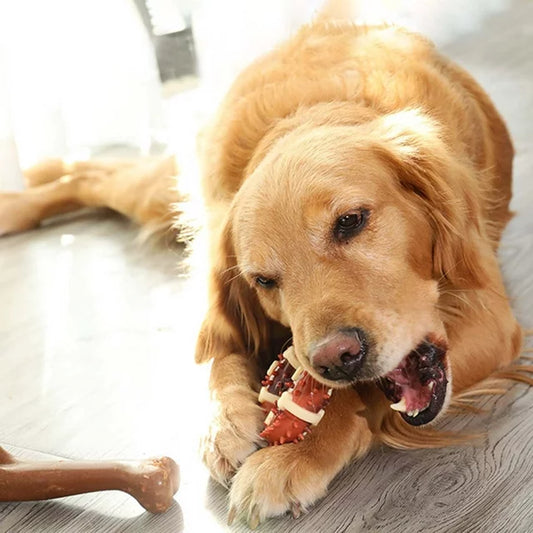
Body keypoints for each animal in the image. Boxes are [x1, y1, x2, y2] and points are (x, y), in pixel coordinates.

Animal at [0, 3, 528, 528]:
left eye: (351, 221)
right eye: (264, 280)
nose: (335, 358)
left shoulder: (493, 320)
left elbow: (356, 396)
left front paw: (292, 456)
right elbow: (221, 347)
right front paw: (223, 422)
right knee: (90, 173)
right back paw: (21, 198)